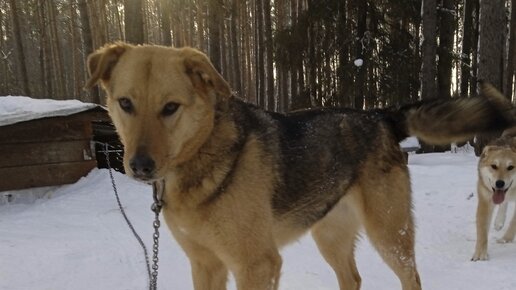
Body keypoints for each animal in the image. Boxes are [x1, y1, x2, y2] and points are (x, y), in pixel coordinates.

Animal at [86, 43, 512, 290]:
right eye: (125, 104)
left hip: (389, 233)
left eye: (170, 107)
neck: (204, 154)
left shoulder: (256, 265)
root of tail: (381, 116)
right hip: (330, 236)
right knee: (352, 278)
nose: (140, 166)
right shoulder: (205, 265)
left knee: (411, 276)